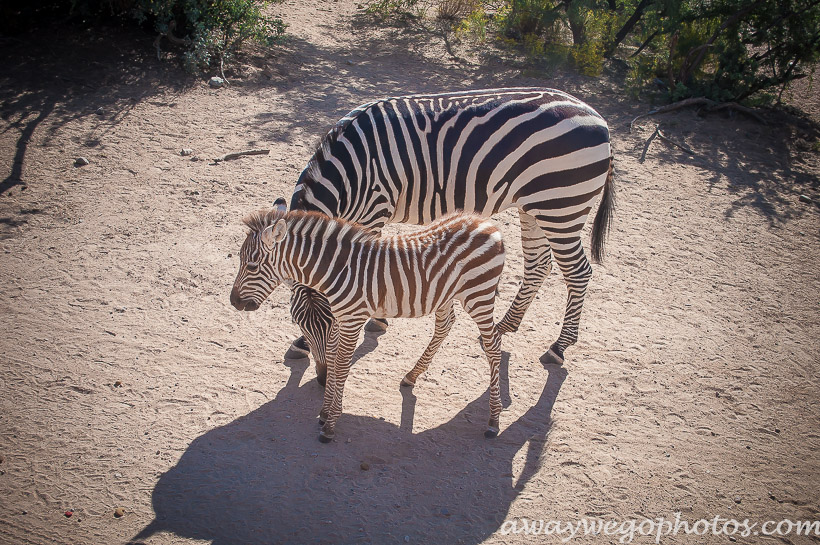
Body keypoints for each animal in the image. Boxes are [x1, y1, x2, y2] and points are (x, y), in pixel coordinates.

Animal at [229, 200, 506, 442]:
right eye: (300, 325)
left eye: (251, 266)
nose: (234, 302)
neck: (336, 270)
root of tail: (485, 223)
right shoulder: (339, 319)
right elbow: (332, 358)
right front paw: (324, 412)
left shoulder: (353, 319)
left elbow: (341, 365)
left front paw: (330, 424)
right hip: (446, 293)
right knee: (446, 323)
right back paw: (412, 376)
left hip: (479, 294)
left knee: (493, 345)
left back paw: (493, 421)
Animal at [286, 89, 612, 378]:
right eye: (297, 320)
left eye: (333, 323)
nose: (322, 376)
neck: (351, 170)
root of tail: (598, 117)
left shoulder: (375, 209)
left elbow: (365, 268)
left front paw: (376, 318)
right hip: (534, 206)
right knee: (538, 264)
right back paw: (505, 326)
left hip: (562, 204)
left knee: (578, 272)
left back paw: (559, 346)